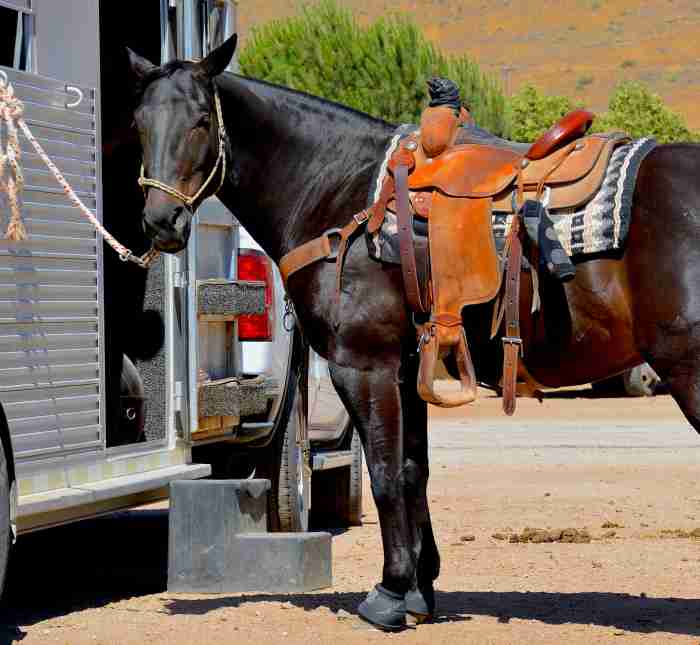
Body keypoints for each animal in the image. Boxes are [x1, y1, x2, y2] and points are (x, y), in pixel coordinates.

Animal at [127, 35, 700, 630]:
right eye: (138, 122)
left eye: (200, 121)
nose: (161, 222)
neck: (340, 192)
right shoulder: (406, 368)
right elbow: (411, 469)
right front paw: (420, 591)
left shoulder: (363, 366)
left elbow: (383, 471)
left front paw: (388, 593)